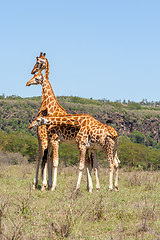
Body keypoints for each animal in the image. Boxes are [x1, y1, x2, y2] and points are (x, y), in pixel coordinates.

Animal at [27, 54, 99, 191]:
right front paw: (49, 184)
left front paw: (50, 186)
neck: (51, 108)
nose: (28, 81)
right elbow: (51, 159)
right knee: (90, 162)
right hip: (88, 145)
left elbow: (53, 161)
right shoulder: (53, 140)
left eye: (38, 62)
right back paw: (91, 187)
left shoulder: (53, 139)